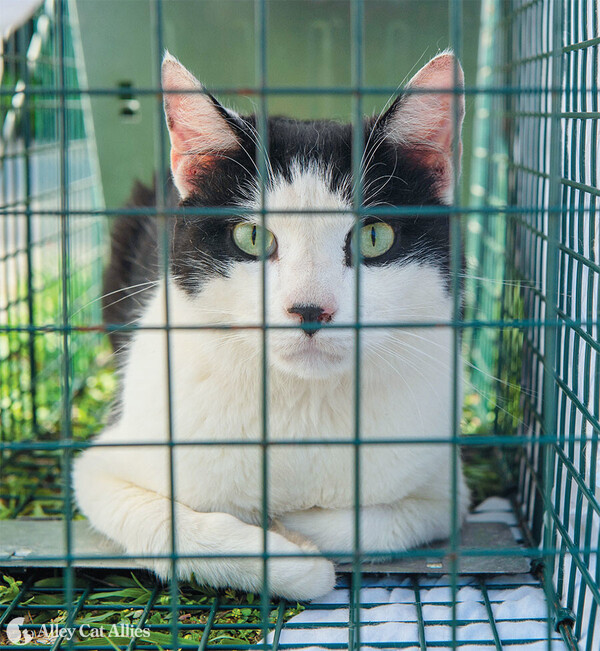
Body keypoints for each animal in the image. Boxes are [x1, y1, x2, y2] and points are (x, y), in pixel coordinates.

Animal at [74, 51, 468, 600]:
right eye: (252, 237)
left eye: (374, 237)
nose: (310, 309)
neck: (301, 404)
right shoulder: (103, 468)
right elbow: (168, 525)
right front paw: (294, 560)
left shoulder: (446, 488)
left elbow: (381, 520)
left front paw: (292, 527)